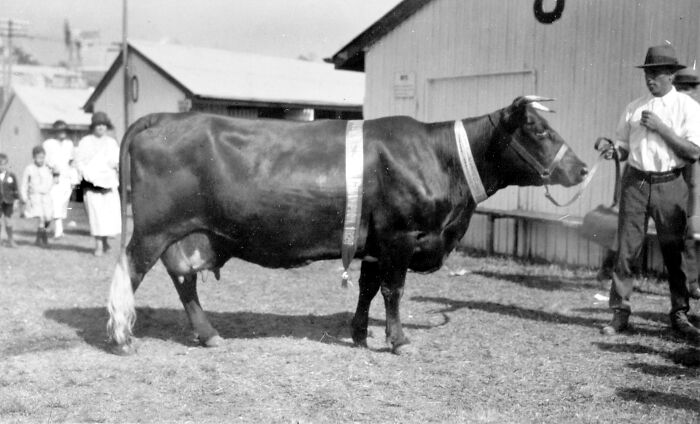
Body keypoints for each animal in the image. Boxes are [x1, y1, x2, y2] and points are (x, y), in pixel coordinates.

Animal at [107, 96, 588, 355]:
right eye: (538, 129)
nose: (582, 168)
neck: (439, 157)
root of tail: (165, 117)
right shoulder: (400, 236)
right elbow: (393, 290)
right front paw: (398, 340)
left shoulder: (374, 242)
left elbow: (368, 288)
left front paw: (359, 334)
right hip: (152, 230)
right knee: (130, 274)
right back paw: (123, 337)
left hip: (184, 233)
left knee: (183, 280)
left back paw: (208, 335)